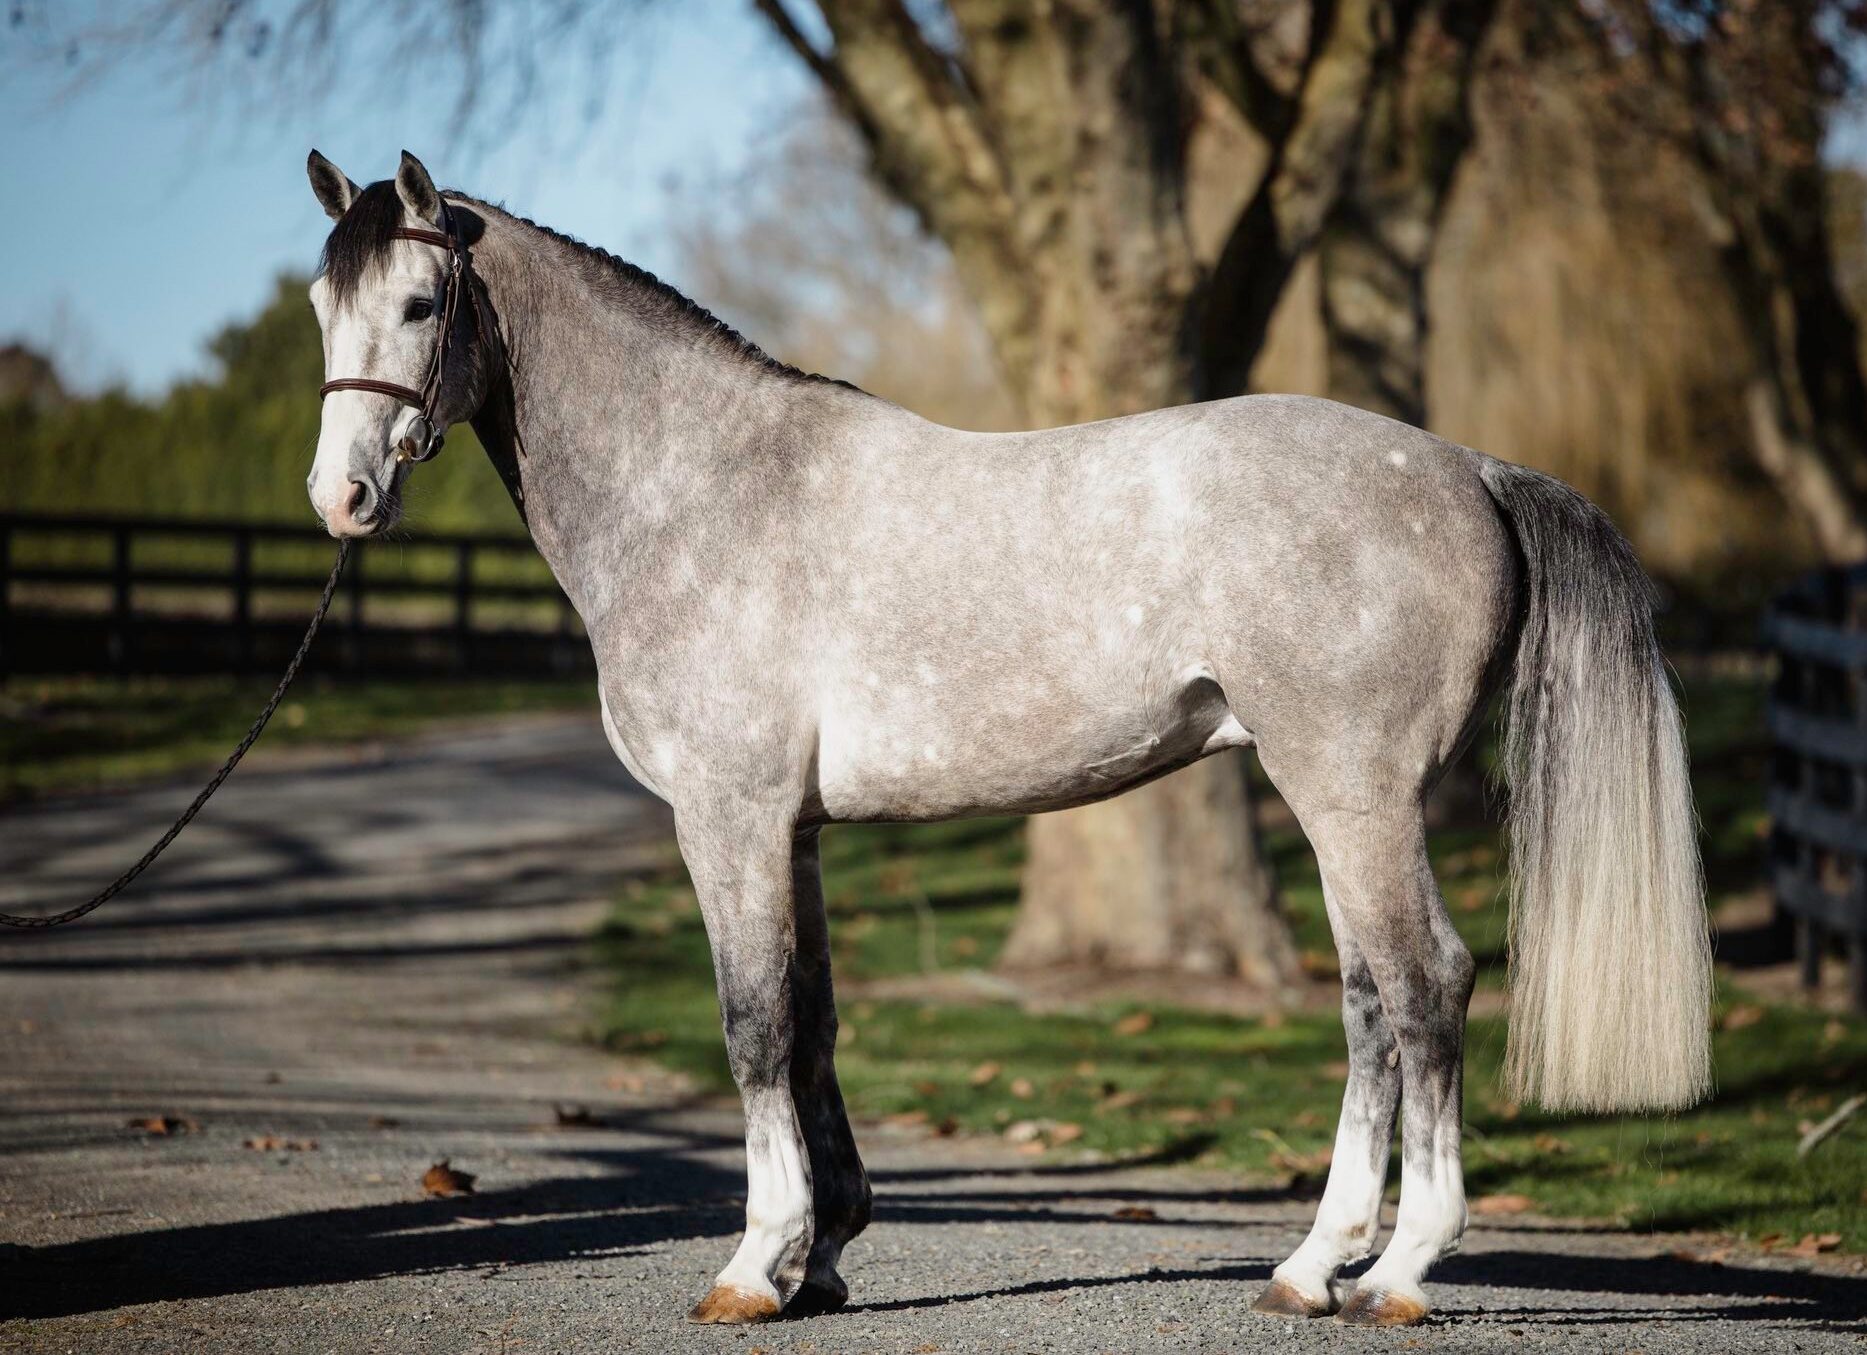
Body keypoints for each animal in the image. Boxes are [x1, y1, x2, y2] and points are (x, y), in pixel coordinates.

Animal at [303, 150, 1713, 1329]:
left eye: (421, 305)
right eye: (324, 304)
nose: (342, 498)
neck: (703, 489)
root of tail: (1470, 468)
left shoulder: (727, 815)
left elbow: (751, 1023)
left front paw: (754, 1265)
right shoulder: (794, 830)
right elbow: (812, 1020)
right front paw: (823, 1255)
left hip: (1354, 793)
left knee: (1428, 986)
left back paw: (1404, 1270)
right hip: (1340, 803)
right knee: (1371, 1003)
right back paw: (1313, 1264)